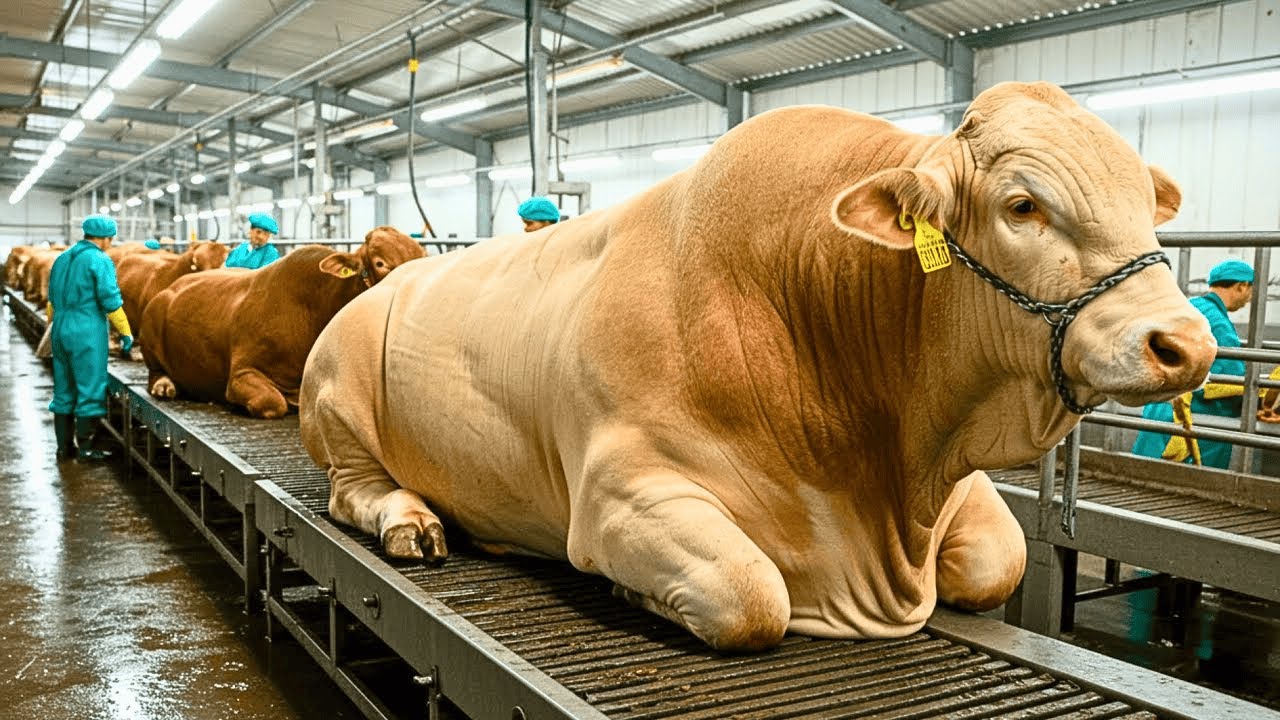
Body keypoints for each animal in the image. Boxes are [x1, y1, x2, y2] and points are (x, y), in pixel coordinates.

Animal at [141, 227, 423, 419]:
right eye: (380, 263)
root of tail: (173, 286)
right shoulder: (241, 373)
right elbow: (272, 402)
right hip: (151, 332)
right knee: (154, 371)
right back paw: (165, 385)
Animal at [299, 82, 1217, 651]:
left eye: (1146, 201)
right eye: (1022, 205)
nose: (1187, 345)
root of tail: (389, 280)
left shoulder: (956, 488)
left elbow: (1003, 559)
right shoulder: (622, 492)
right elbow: (752, 596)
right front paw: (634, 593)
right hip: (338, 406)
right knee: (353, 490)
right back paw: (411, 522)